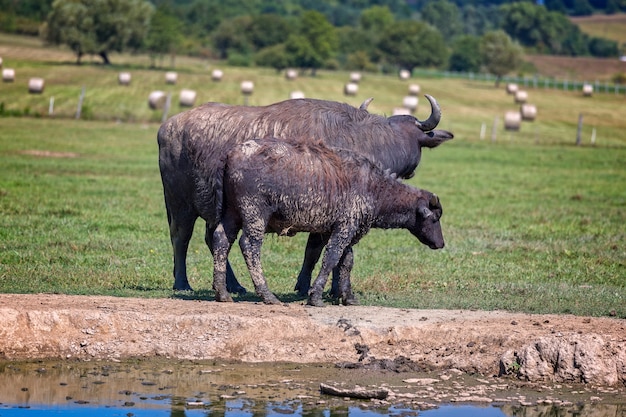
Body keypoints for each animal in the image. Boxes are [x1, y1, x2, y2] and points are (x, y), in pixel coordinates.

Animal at [213, 138, 444, 304]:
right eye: (435, 218)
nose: (440, 244)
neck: (375, 188)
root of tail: (232, 155)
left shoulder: (345, 230)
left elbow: (346, 262)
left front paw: (348, 297)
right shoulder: (344, 227)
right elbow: (331, 258)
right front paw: (315, 296)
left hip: (232, 213)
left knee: (221, 240)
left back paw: (222, 293)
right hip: (254, 212)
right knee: (249, 246)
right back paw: (267, 295)